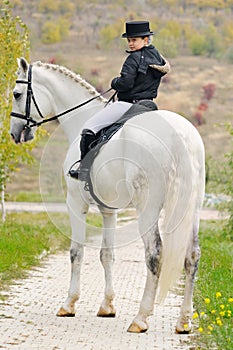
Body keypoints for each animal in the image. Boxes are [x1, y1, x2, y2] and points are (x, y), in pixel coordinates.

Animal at [10, 57, 205, 334]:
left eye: (16, 94)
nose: (16, 133)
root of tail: (181, 136)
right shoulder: (108, 209)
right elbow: (107, 254)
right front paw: (107, 306)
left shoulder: (75, 203)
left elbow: (76, 252)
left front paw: (69, 304)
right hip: (191, 207)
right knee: (192, 256)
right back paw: (184, 321)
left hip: (148, 208)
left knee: (154, 253)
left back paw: (141, 318)